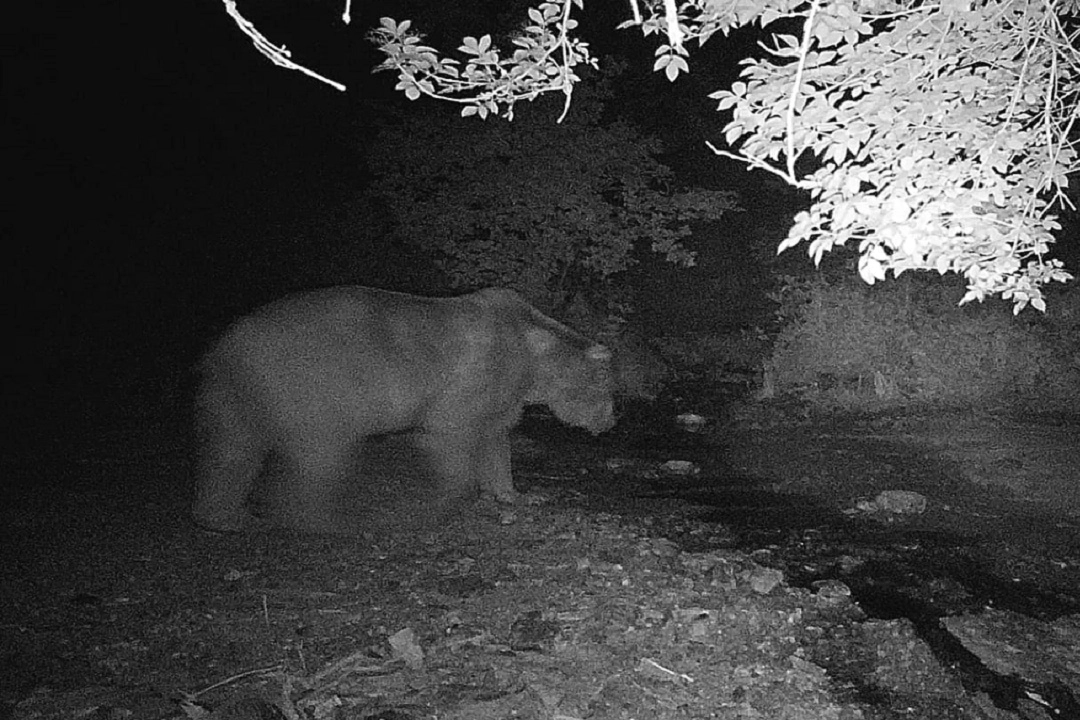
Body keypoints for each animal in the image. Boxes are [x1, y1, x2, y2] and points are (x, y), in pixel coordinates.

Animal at [192, 287, 617, 535]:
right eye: (611, 393)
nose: (611, 421)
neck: (535, 361)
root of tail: (225, 342)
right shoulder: (476, 375)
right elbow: (451, 432)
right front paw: (439, 505)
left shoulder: (502, 395)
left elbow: (495, 439)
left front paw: (516, 494)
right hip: (315, 384)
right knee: (318, 452)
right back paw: (327, 520)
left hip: (242, 392)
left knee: (233, 453)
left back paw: (225, 516)